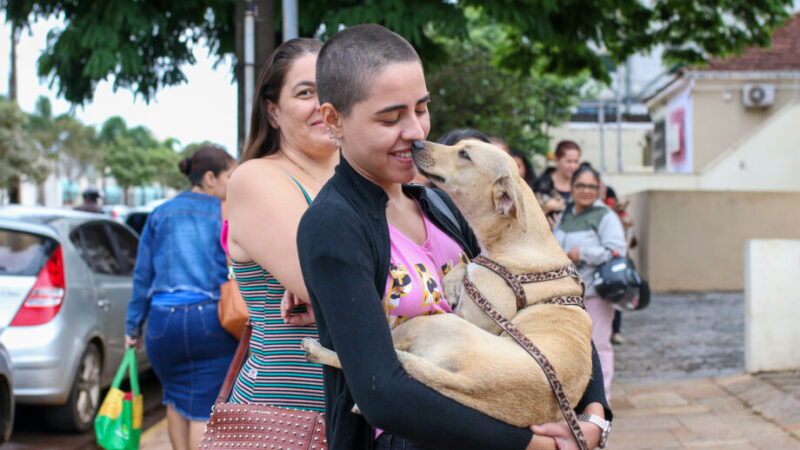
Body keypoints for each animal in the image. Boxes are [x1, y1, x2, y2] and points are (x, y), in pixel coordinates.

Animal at [304, 140, 592, 426]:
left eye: (464, 154)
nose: (416, 142)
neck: (516, 237)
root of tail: (464, 381)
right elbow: (466, 264)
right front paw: (453, 283)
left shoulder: (476, 314)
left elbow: (469, 268)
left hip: (428, 323)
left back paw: (316, 351)